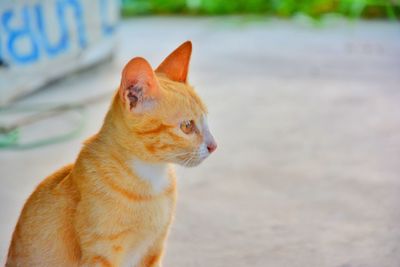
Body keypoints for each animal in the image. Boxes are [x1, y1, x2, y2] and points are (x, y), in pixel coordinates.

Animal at [6, 40, 217, 266]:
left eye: (206, 120)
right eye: (187, 126)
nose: (214, 146)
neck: (150, 178)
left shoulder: (154, 249)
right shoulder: (101, 254)